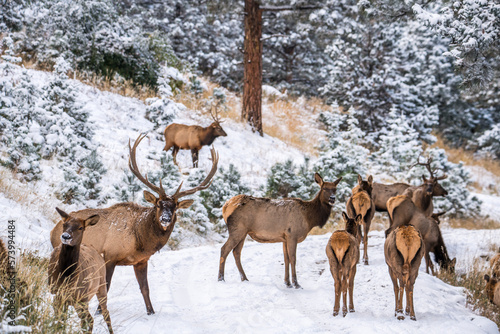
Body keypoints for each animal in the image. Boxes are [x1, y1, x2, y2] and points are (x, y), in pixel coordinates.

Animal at [50, 132, 219, 314]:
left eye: (175, 208)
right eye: (158, 204)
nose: (165, 219)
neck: (140, 240)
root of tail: (53, 231)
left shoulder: (141, 261)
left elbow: (145, 288)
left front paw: (151, 311)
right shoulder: (109, 255)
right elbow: (106, 287)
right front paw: (99, 311)